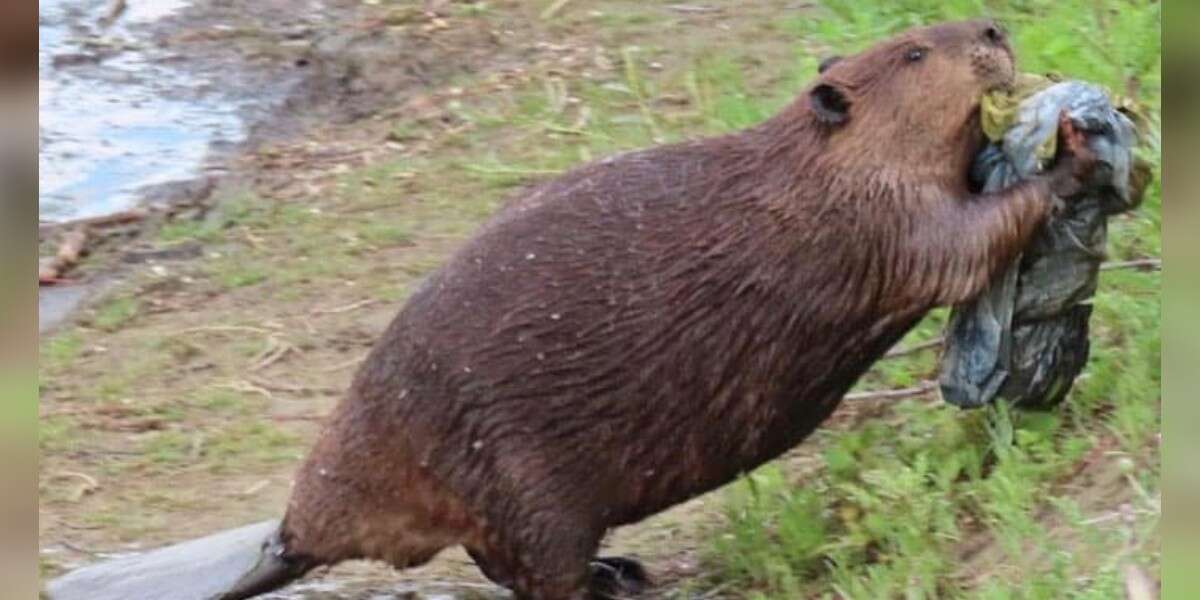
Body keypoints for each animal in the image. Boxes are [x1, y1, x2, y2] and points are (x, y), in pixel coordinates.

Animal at [49, 18, 1099, 600]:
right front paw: (1077, 151)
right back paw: (615, 581)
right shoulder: (871, 218)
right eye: (918, 49)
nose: (992, 30)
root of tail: (290, 533)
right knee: (523, 572)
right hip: (522, 482)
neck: (806, 166)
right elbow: (959, 247)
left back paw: (621, 572)